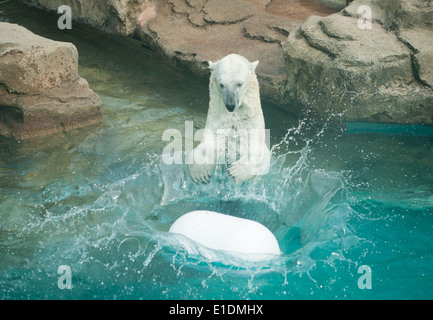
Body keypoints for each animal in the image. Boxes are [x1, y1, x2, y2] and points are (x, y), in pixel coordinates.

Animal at [186, 53, 268, 184]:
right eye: (221, 84)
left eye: (239, 84)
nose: (230, 105)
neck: (234, 115)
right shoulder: (218, 122)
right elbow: (209, 144)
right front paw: (200, 173)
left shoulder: (250, 125)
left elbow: (257, 151)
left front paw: (235, 172)